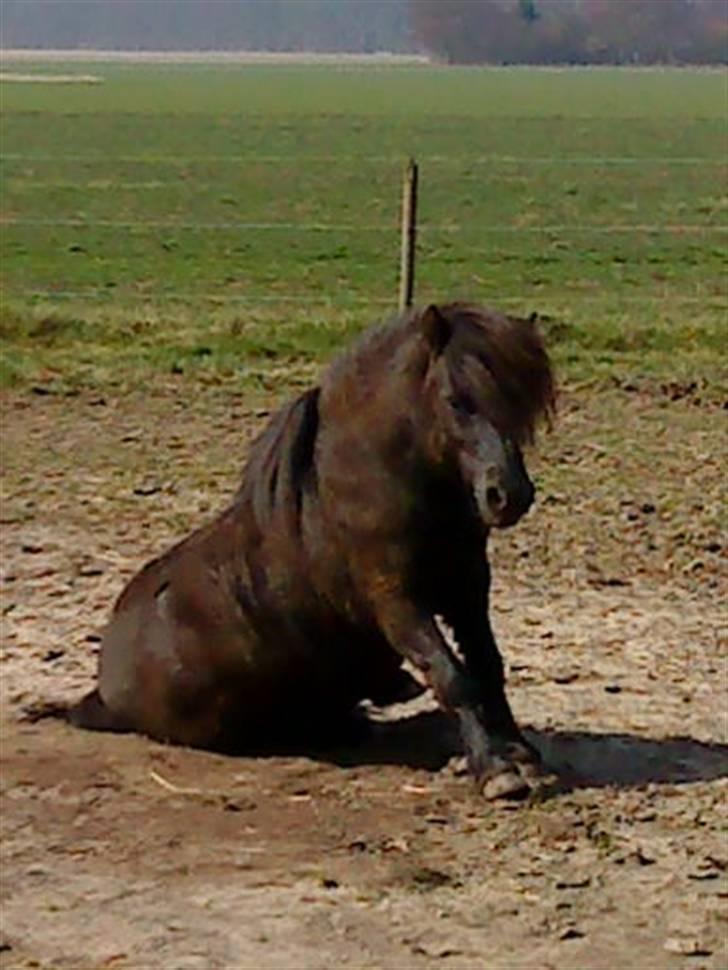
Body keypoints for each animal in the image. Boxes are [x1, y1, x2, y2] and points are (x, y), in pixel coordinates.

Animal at [69, 304, 556, 800]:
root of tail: (107, 683)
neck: (384, 481)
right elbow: (451, 676)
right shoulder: (397, 602)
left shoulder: (467, 588)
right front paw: (495, 769)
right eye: (457, 400)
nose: (508, 495)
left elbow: (488, 666)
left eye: (524, 403)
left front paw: (521, 753)